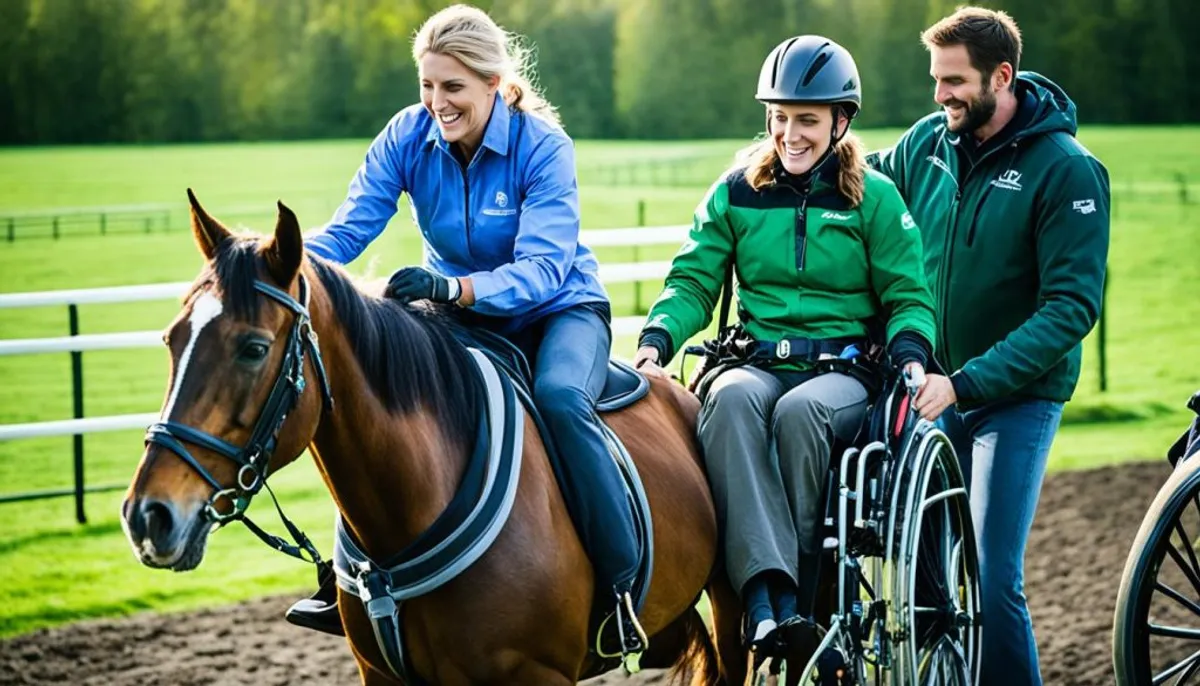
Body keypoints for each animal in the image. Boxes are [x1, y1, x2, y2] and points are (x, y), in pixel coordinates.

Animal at [117, 194, 744, 686]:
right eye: (172, 339)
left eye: (253, 348)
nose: (149, 515)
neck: (411, 510)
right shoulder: (381, 676)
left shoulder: (538, 675)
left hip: (734, 614)